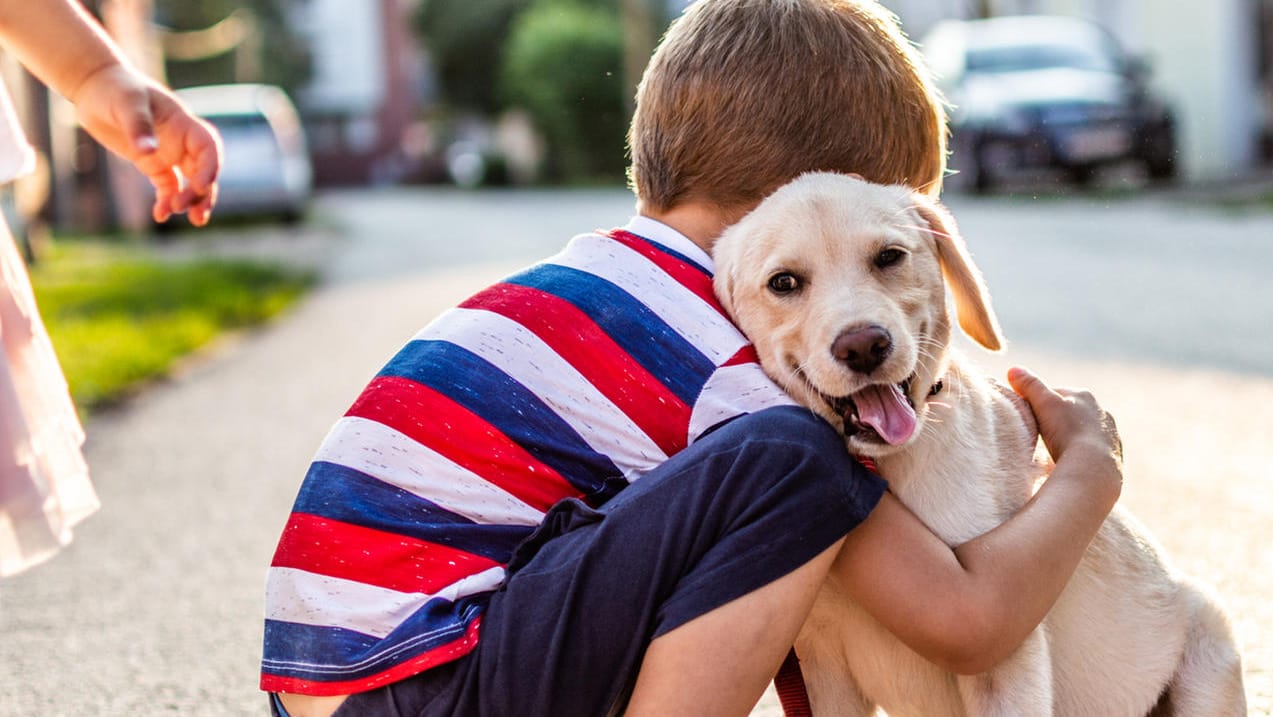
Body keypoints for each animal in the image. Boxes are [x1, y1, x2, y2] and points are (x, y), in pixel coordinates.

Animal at [712, 174, 1247, 717]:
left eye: (889, 257)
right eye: (784, 283)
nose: (863, 346)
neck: (892, 466)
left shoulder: (1004, 644)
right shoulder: (822, 664)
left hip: (1210, 638)